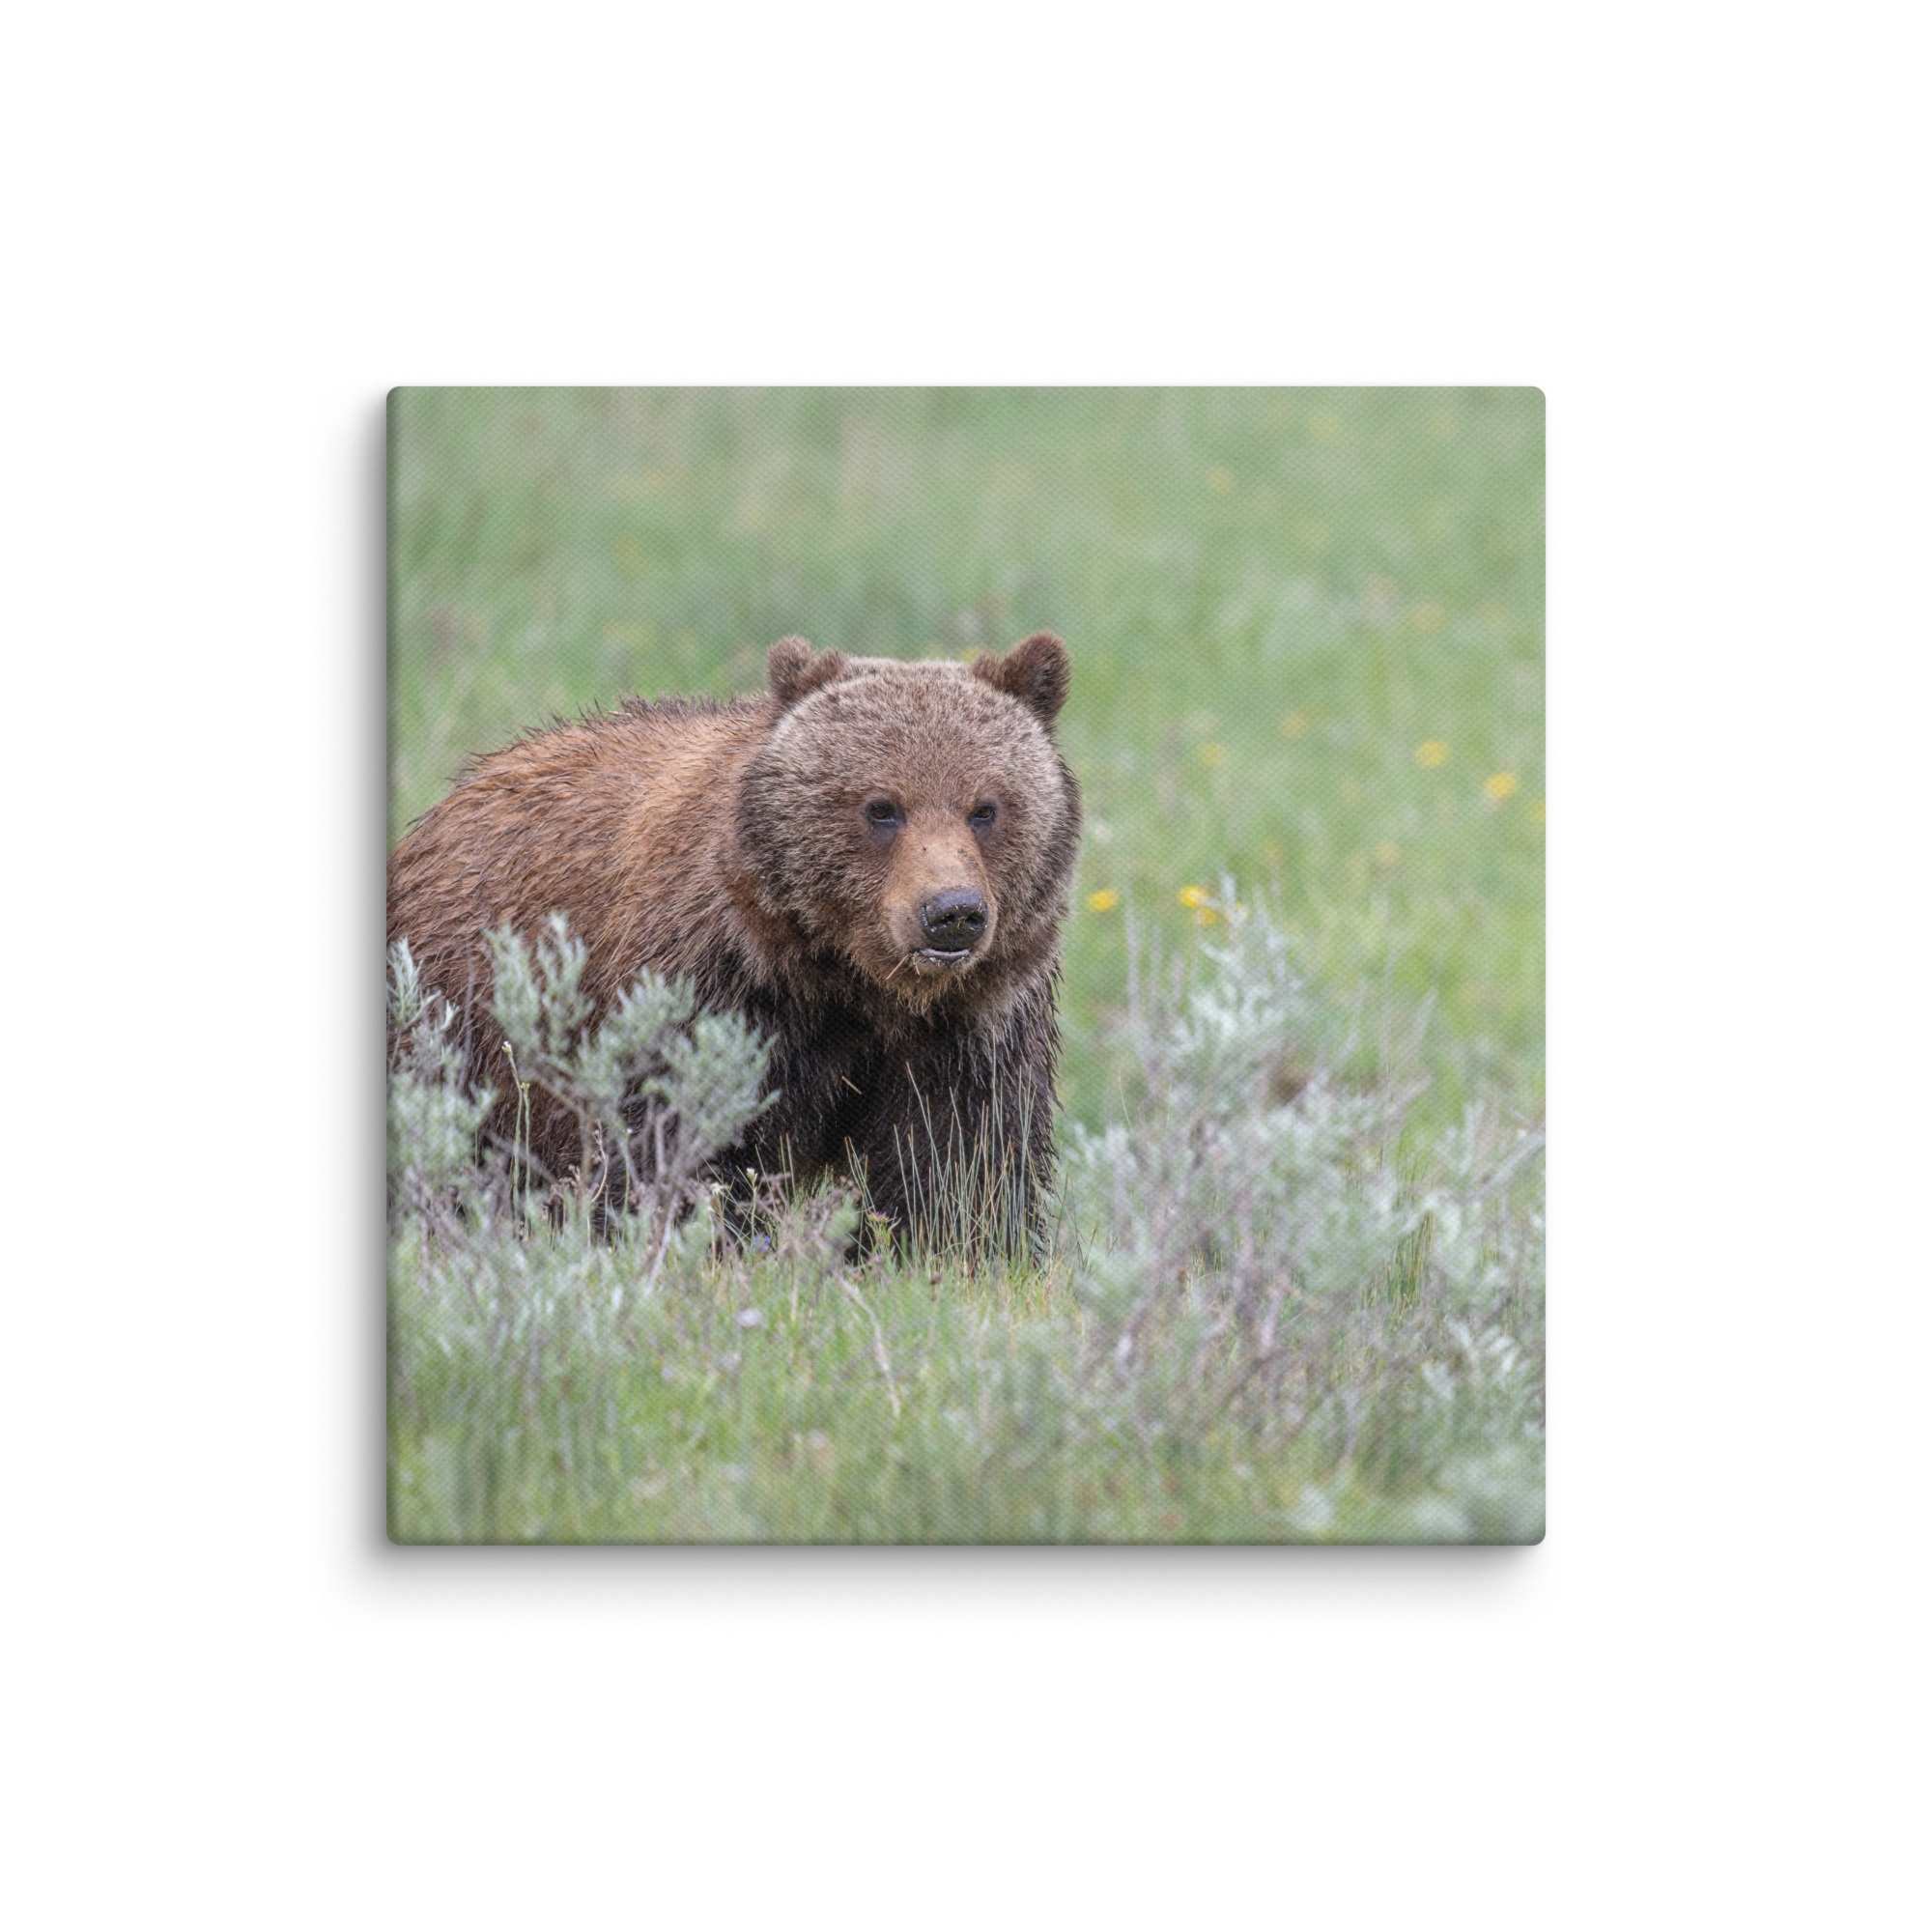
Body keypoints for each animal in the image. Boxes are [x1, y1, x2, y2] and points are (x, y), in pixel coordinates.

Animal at [386, 631, 1081, 1249]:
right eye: (882, 806)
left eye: (985, 807)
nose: (951, 913)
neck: (852, 981)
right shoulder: (716, 988)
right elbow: (681, 1138)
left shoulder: (971, 1024)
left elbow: (958, 1160)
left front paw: (950, 1249)